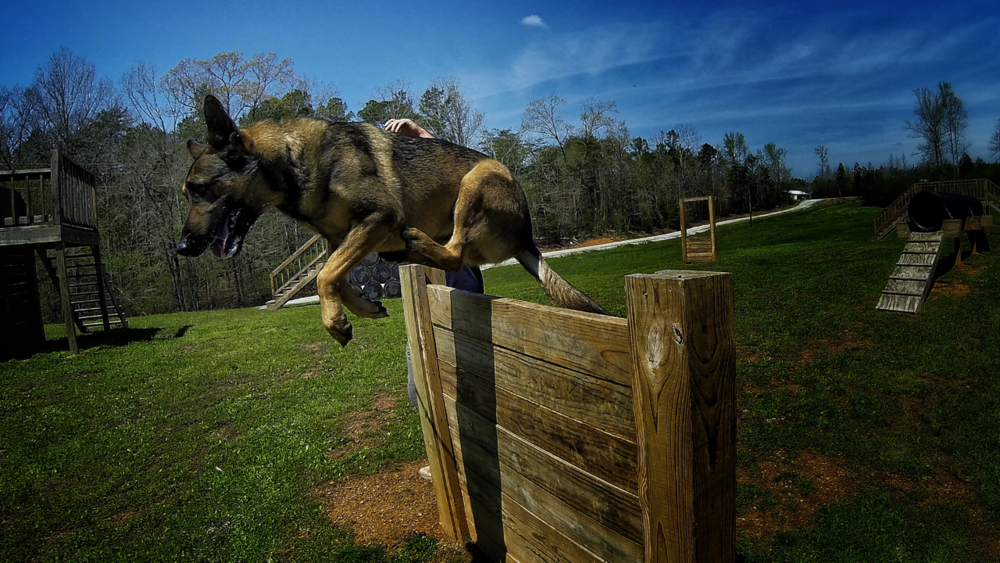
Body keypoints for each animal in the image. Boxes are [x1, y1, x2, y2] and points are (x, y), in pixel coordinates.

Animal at [176, 94, 604, 346]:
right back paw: (407, 252)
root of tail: (526, 238)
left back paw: (415, 243)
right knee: (450, 254)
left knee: (454, 254)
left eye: (199, 190)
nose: (182, 247)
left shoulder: (378, 218)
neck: (290, 160)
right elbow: (335, 276)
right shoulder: (341, 241)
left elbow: (324, 276)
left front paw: (335, 320)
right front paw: (362, 309)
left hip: (477, 179)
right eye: (187, 193)